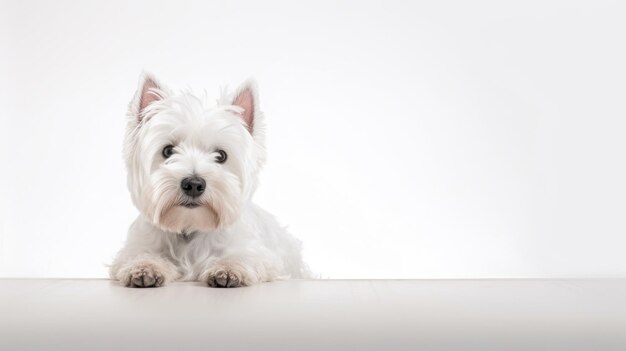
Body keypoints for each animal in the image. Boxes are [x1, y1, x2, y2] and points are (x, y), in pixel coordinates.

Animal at [111, 72, 310, 288]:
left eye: (221, 156)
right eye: (168, 151)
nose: (193, 184)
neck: (190, 227)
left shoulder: (259, 254)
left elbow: (243, 256)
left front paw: (229, 270)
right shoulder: (138, 245)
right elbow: (140, 254)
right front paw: (144, 267)